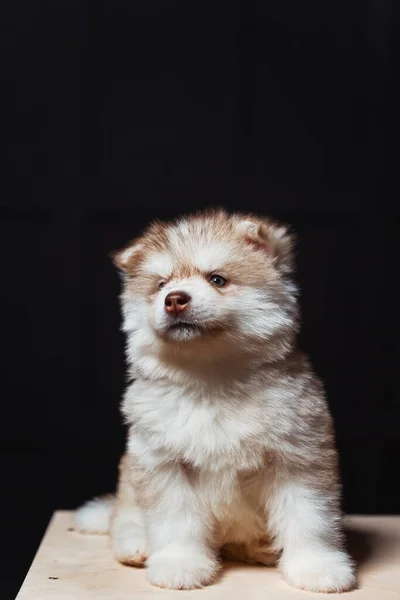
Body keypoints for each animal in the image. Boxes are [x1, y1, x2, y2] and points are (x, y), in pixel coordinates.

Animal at [75, 210, 356, 592]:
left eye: (217, 279)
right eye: (161, 285)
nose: (174, 298)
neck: (210, 379)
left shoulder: (299, 457)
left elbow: (309, 519)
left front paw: (317, 567)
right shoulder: (163, 463)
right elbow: (175, 520)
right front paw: (180, 564)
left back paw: (260, 548)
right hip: (129, 483)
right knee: (123, 518)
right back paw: (136, 544)